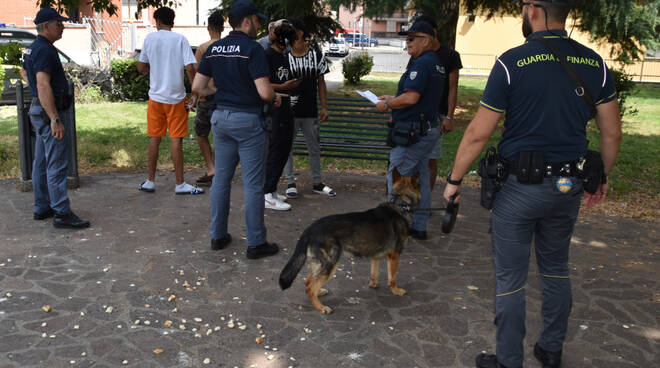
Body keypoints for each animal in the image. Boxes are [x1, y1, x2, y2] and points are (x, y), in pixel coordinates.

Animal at [278, 170, 420, 314]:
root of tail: (309, 230)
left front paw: (373, 285)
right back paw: (321, 307)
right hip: (330, 264)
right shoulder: (394, 256)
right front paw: (396, 291)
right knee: (310, 288)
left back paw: (319, 293)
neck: (400, 203)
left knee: (307, 281)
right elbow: (392, 278)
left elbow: (374, 274)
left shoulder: (375, 257)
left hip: (318, 264)